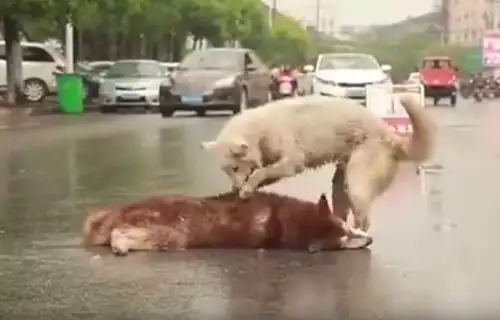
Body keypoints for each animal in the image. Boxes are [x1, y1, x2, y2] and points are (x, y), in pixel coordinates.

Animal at [201, 94, 436, 231]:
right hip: (341, 182)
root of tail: (391, 137)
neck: (260, 131)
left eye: (234, 168)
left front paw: (246, 188)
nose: (234, 189)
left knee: (364, 219)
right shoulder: (276, 165)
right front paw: (245, 190)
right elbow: (262, 174)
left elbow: (261, 172)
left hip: (357, 180)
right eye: (226, 171)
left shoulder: (292, 162)